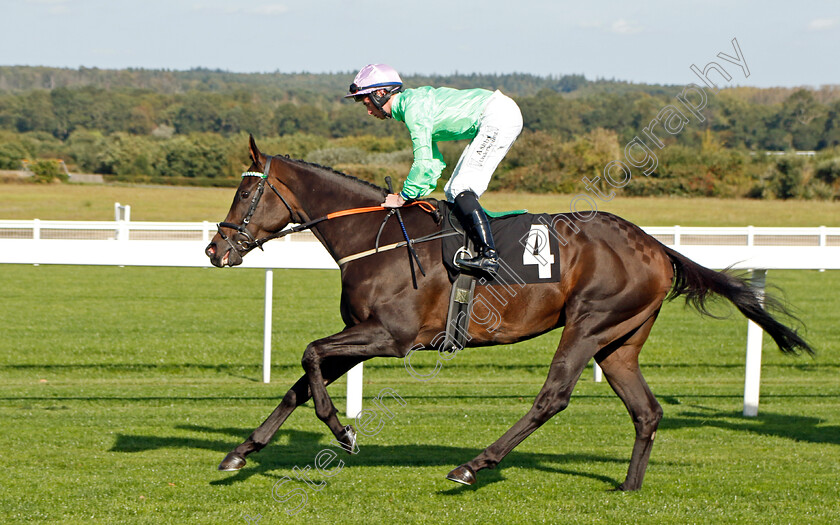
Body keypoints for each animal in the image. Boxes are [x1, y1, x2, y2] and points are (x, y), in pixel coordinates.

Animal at [205, 136, 812, 492]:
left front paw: (344, 431)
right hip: (620, 341)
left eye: (243, 195)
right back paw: (627, 487)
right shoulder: (361, 332)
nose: (215, 250)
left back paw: (473, 465)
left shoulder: (390, 336)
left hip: (588, 324)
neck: (373, 238)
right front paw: (241, 452)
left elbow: (309, 357)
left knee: (553, 397)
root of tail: (658, 248)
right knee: (647, 411)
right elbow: (300, 382)